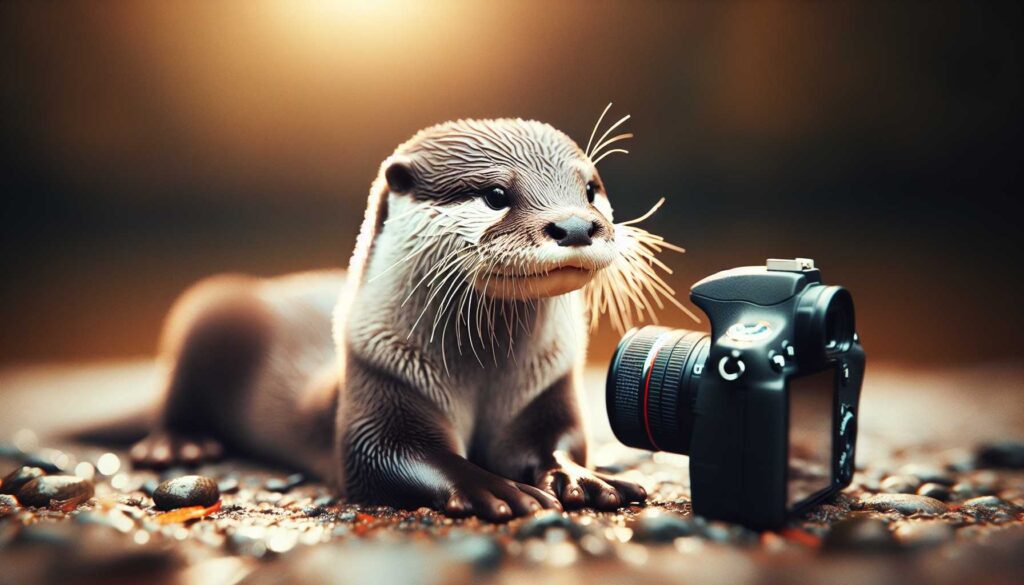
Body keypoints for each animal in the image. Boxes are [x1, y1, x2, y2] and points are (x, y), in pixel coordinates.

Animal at [130, 113, 689, 520]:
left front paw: (582, 478)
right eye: (496, 195)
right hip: (209, 306)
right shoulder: (382, 377)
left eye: (590, 189)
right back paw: (176, 445)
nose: (575, 225)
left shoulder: (545, 385)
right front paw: (494, 487)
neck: (482, 376)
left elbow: (558, 442)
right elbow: (388, 454)